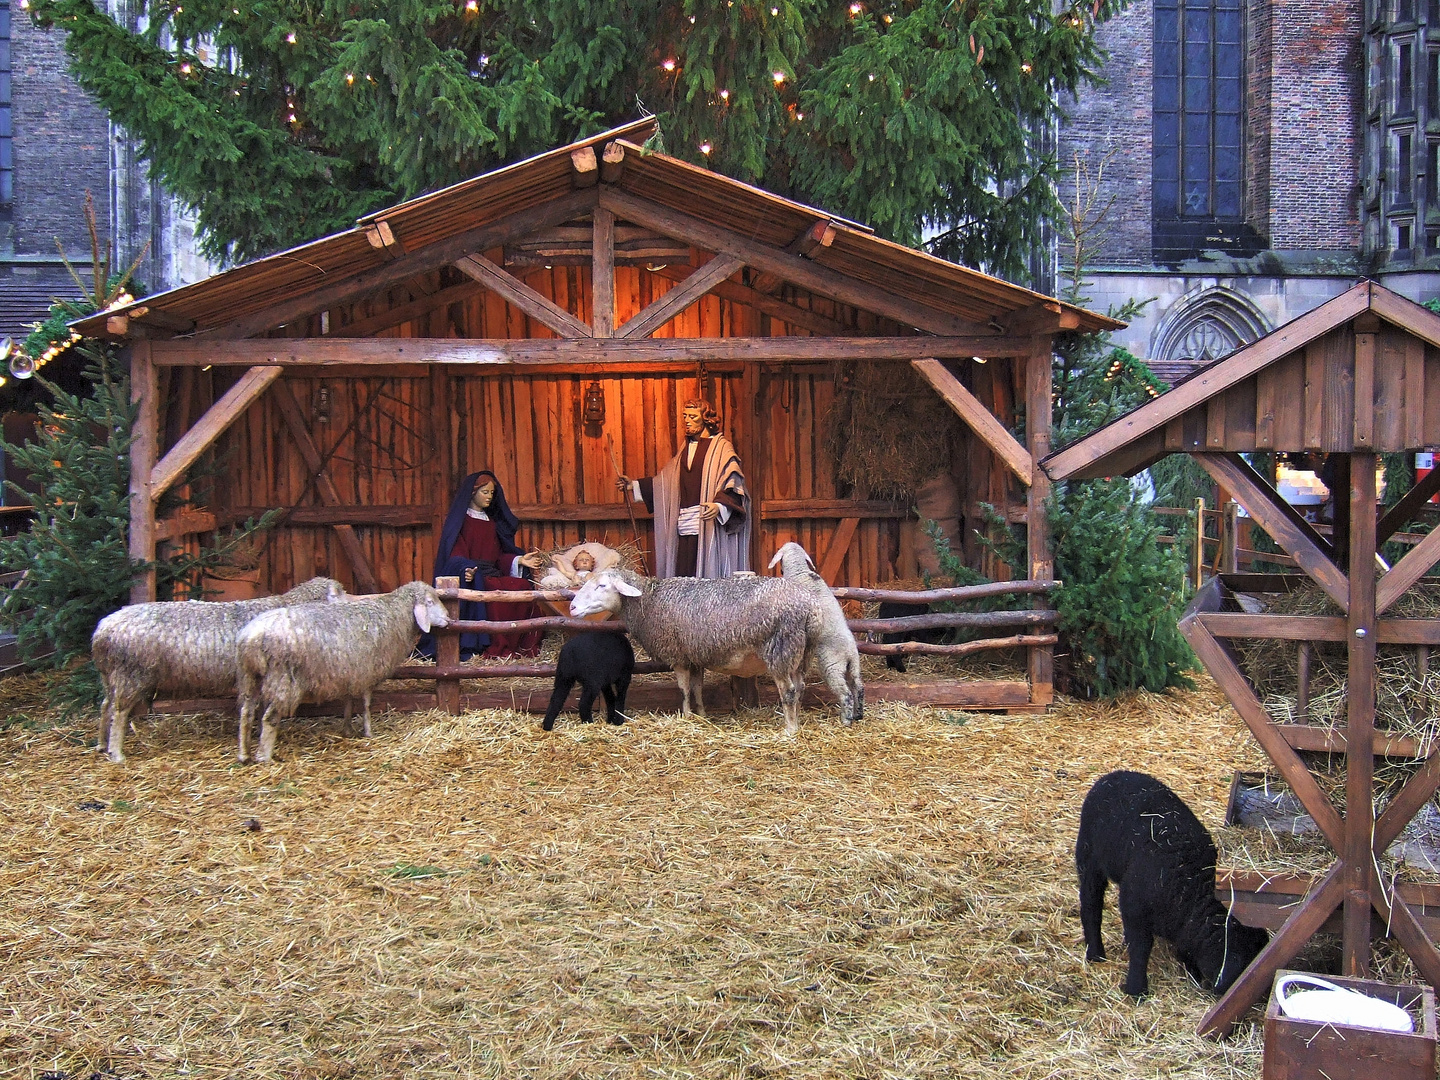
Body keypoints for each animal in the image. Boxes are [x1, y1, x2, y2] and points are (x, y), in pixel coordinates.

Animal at [92, 578, 345, 766]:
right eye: (340, 592)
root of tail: (102, 631)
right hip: (131, 673)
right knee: (119, 712)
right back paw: (117, 753)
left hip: (111, 675)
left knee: (106, 706)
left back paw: (102, 744)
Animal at [236, 578, 449, 766]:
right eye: (430, 602)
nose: (448, 617)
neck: (393, 614)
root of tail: (251, 637)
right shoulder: (367, 671)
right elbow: (366, 704)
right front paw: (368, 732)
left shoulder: (350, 672)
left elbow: (349, 702)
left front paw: (347, 729)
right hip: (284, 678)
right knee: (269, 718)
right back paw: (264, 756)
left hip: (251, 677)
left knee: (246, 713)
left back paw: (244, 754)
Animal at [1077, 771, 1267, 1002]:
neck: (1191, 890)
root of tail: (1115, 775)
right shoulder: (1134, 906)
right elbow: (1140, 948)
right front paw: (1137, 989)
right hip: (1088, 855)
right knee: (1090, 904)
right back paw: (1095, 953)